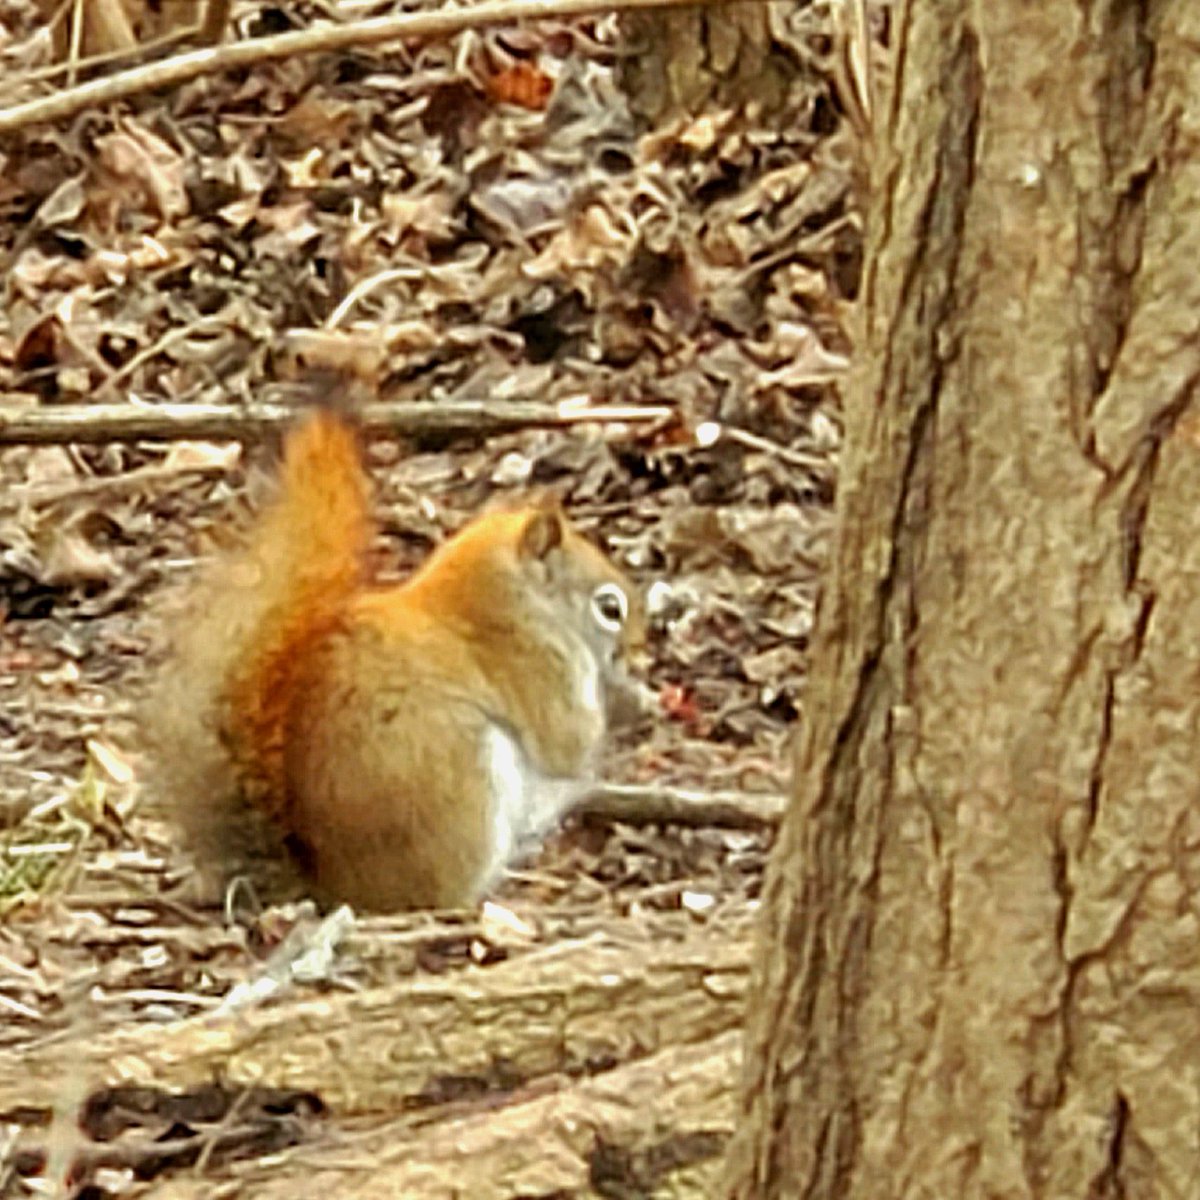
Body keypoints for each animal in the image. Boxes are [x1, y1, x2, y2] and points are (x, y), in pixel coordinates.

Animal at [148, 410, 646, 911]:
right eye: (610, 607)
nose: (639, 649)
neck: (500, 598)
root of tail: (334, 888)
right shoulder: (537, 663)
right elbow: (570, 742)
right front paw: (630, 702)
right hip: (468, 781)